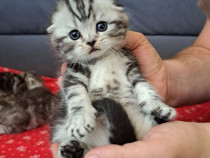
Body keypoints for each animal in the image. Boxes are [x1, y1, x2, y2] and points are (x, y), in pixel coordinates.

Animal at [47, 0, 176, 158]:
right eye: (74, 34)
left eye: (102, 26)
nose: (91, 42)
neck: (102, 58)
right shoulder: (73, 72)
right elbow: (76, 94)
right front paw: (80, 118)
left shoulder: (132, 66)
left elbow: (144, 86)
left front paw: (157, 106)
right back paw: (72, 149)